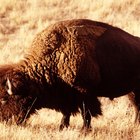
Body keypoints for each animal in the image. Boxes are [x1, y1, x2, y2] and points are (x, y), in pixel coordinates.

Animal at [0, 18, 139, 130]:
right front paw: (62, 127)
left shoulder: (85, 93)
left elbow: (86, 113)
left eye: (3, 100)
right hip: (132, 91)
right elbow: (66, 113)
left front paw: (84, 130)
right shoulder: (66, 96)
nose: (3, 122)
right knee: (136, 106)